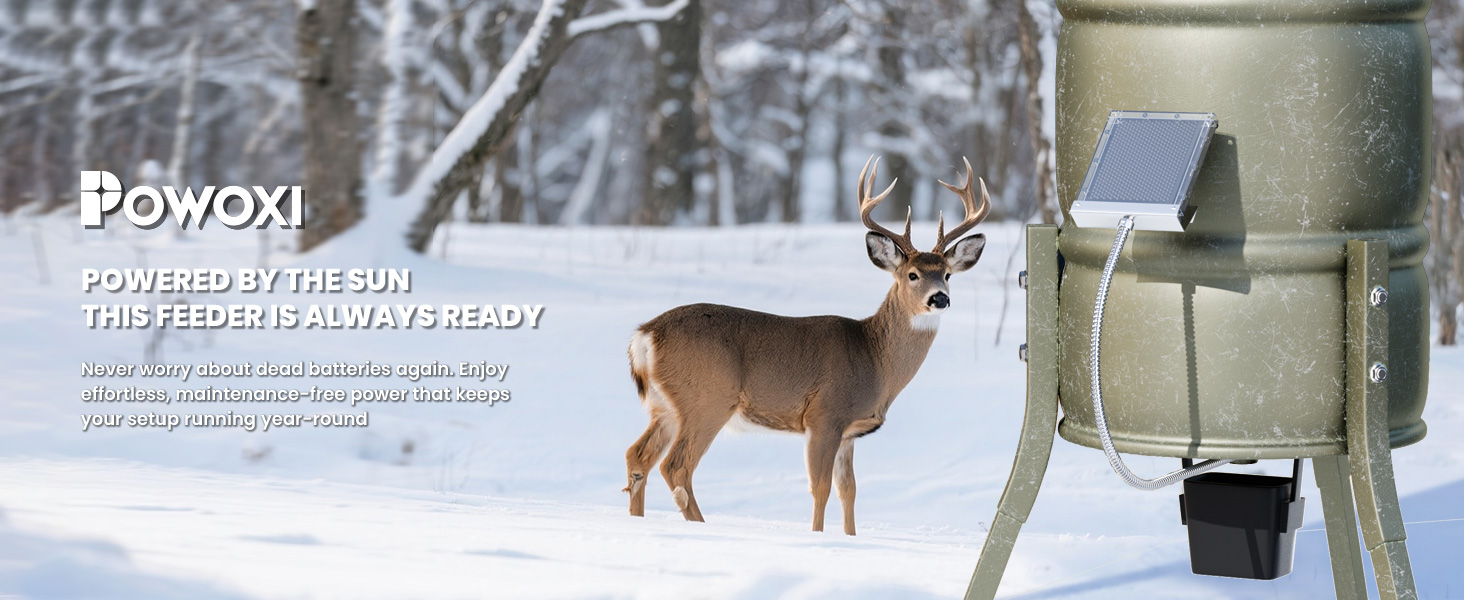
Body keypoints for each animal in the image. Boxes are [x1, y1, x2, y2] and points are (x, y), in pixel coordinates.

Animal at [623, 156, 990, 535]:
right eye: (912, 275)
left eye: (947, 274)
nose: (940, 298)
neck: (874, 358)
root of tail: (646, 335)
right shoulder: (825, 414)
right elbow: (821, 487)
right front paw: (817, 536)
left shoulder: (849, 432)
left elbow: (849, 489)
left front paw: (850, 537)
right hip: (707, 398)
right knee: (676, 466)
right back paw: (700, 524)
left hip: (664, 405)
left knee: (638, 456)